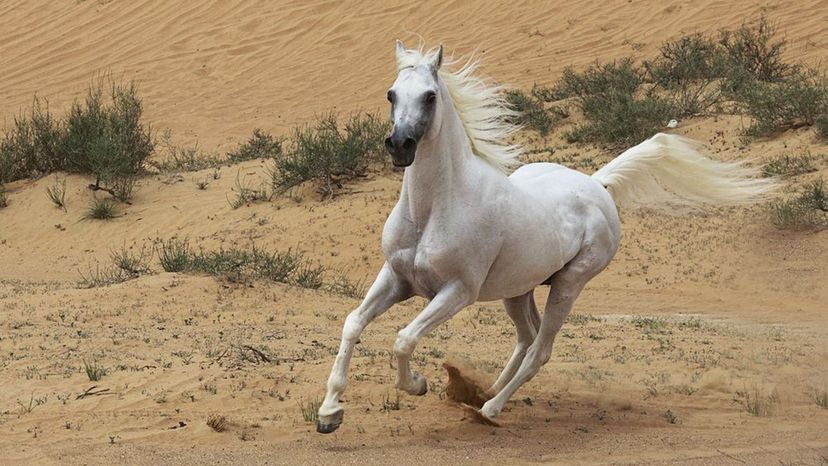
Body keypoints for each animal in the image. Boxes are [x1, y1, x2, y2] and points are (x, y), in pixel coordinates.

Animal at [316, 41, 768, 432]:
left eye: (429, 96)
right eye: (391, 94)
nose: (399, 146)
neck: (433, 209)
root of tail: (597, 184)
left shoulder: (456, 291)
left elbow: (404, 339)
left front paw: (417, 385)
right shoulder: (396, 278)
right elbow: (353, 324)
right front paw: (329, 413)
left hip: (568, 285)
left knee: (540, 349)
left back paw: (489, 408)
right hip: (519, 289)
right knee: (526, 337)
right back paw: (484, 391)